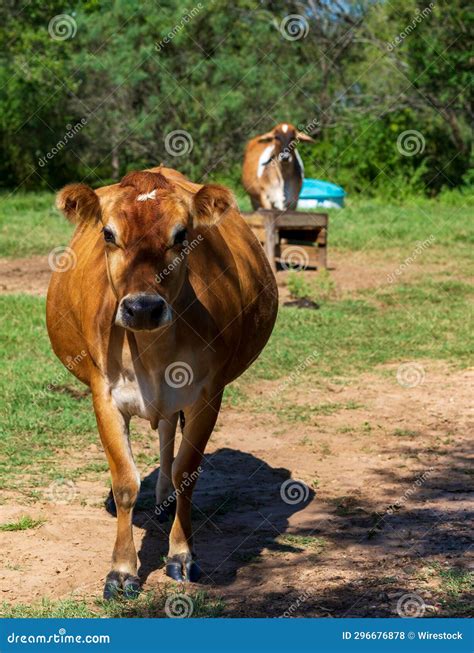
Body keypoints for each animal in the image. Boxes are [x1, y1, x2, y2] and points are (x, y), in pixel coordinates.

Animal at [46, 167, 278, 596]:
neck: (153, 352)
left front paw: (181, 554)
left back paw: (166, 499)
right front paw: (122, 569)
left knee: (169, 433)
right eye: (108, 233)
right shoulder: (104, 395)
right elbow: (125, 480)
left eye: (181, 234)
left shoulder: (207, 394)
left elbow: (186, 470)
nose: (143, 307)